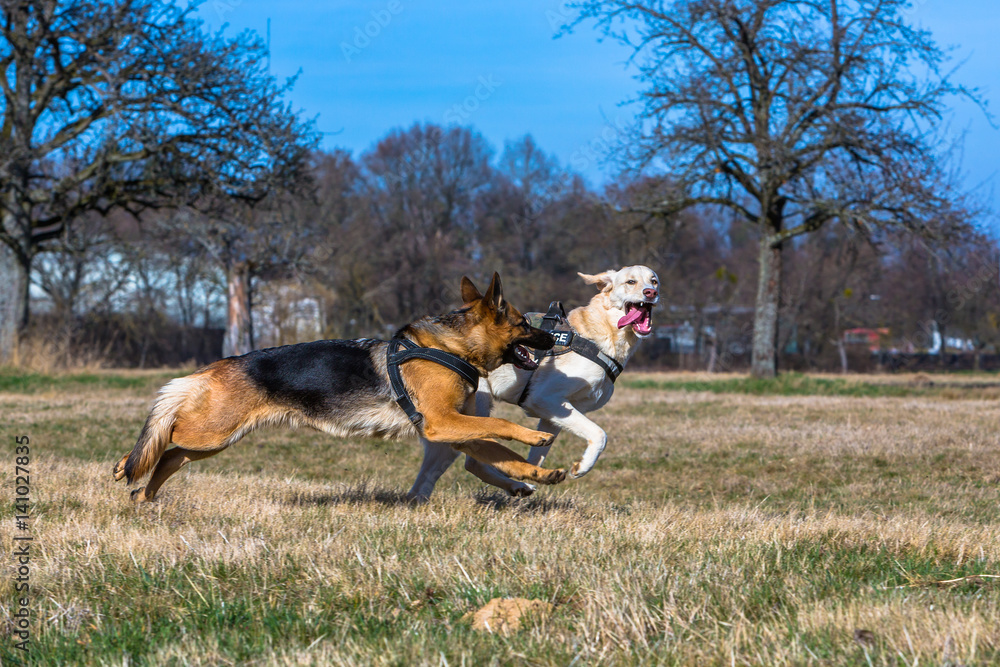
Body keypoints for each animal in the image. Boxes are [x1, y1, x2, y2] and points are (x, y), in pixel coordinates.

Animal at [113, 274, 568, 504]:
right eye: (523, 325)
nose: (554, 337)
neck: (451, 347)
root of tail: (214, 367)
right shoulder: (444, 423)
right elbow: (504, 431)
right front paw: (535, 436)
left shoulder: (455, 430)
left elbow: (504, 457)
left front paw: (539, 475)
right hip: (211, 432)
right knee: (165, 434)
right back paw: (125, 464)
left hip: (215, 440)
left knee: (169, 456)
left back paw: (143, 495)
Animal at [406, 266, 656, 500]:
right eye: (630, 281)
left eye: (654, 281)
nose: (651, 293)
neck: (604, 333)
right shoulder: (543, 399)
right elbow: (600, 434)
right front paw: (582, 467)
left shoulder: (556, 412)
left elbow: (537, 454)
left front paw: (537, 473)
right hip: (473, 412)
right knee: (473, 462)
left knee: (425, 482)